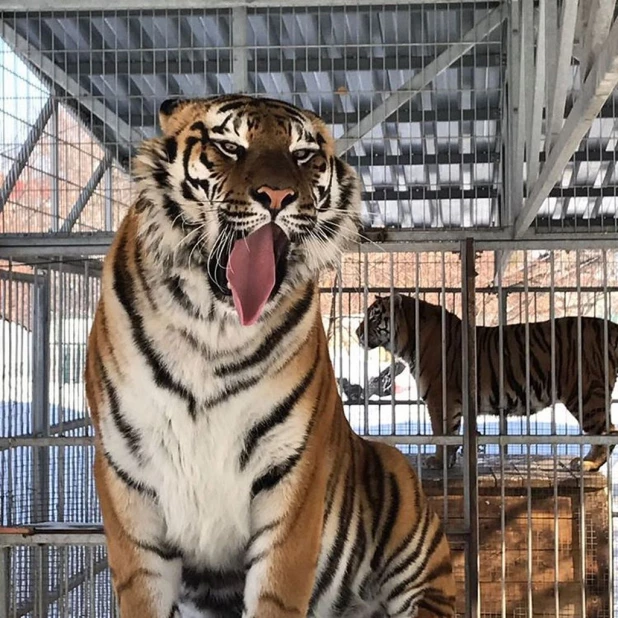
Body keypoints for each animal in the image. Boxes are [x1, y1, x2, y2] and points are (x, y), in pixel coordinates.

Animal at [84, 96, 454, 616]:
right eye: (229, 147)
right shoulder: (127, 475)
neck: (212, 330)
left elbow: (276, 591)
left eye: (303, 155)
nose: (277, 196)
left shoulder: (291, 472)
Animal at [354, 292, 616, 470]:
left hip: (585, 394)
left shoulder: (440, 398)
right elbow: (454, 433)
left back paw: (588, 464)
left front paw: (437, 461)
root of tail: (609, 325)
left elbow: (441, 433)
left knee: (606, 430)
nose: (357, 333)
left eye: (375, 316)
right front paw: (448, 460)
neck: (409, 341)